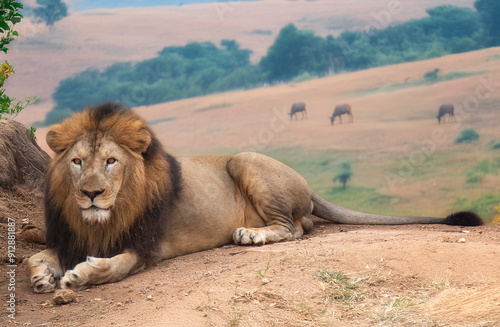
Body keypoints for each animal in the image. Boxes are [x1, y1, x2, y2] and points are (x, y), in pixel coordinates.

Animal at [28, 103, 484, 294]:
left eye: (111, 162)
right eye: (77, 162)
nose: (91, 194)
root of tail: (306, 182)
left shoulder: (146, 248)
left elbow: (113, 267)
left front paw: (79, 277)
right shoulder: (71, 237)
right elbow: (40, 255)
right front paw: (41, 274)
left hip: (244, 160)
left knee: (296, 228)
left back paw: (251, 234)